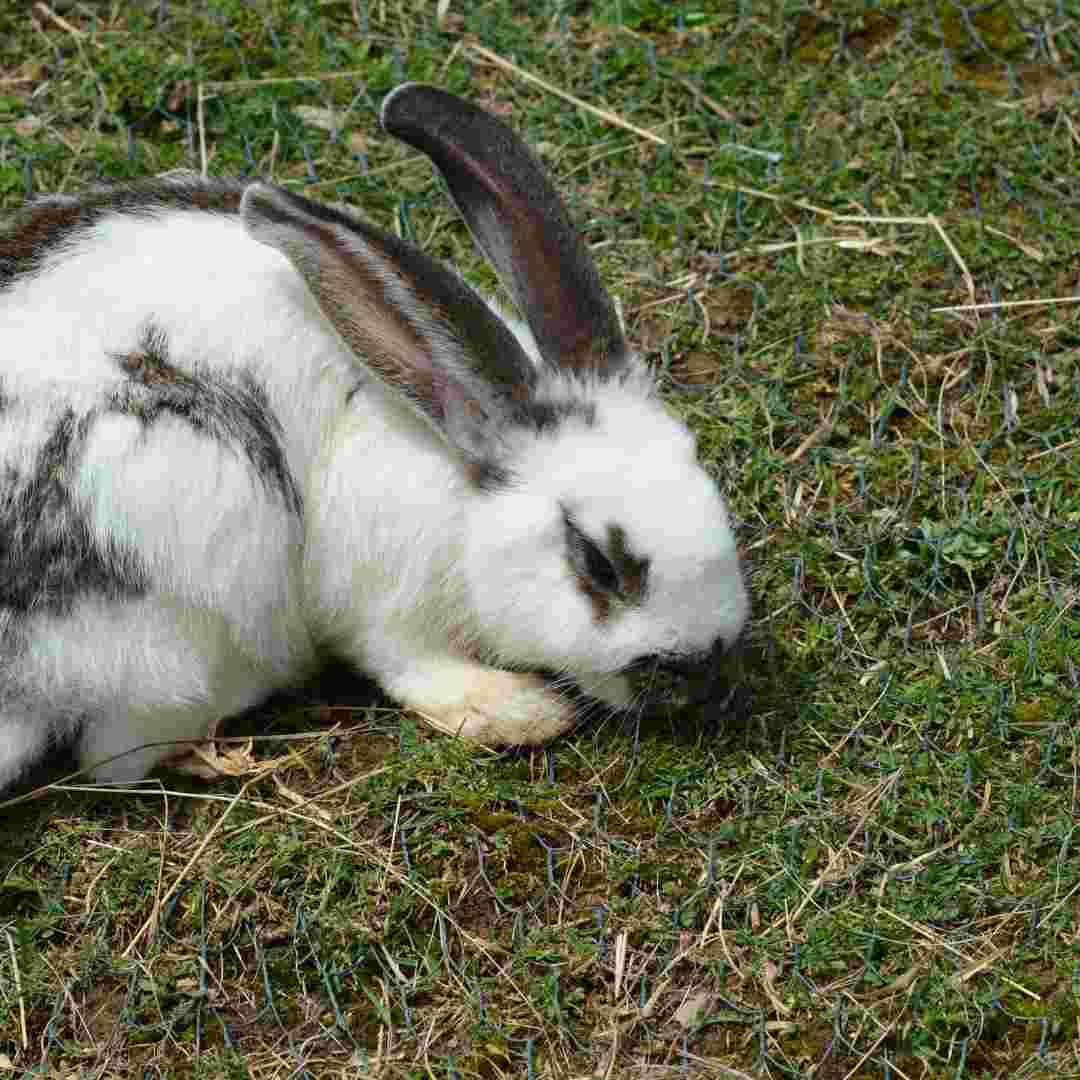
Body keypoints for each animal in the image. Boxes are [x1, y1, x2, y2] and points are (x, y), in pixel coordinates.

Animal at [0, 84, 747, 790]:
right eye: (596, 561)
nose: (707, 667)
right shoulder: (384, 602)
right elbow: (408, 664)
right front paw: (515, 709)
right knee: (117, 752)